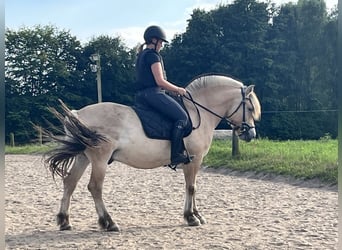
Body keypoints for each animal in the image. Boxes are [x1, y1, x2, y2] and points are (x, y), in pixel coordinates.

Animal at [44, 73, 260, 231]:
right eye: (250, 108)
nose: (251, 134)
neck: (199, 112)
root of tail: (77, 114)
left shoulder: (193, 161)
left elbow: (192, 187)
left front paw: (196, 215)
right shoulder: (194, 159)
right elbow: (191, 187)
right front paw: (191, 218)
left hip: (83, 157)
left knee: (70, 182)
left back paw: (64, 221)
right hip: (99, 159)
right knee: (94, 187)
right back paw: (109, 222)